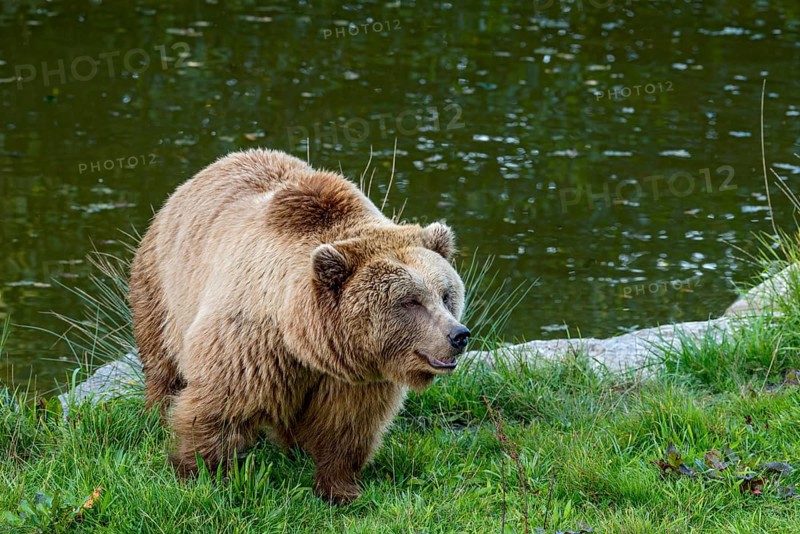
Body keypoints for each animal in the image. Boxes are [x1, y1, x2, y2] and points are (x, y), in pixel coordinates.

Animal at [128, 148, 470, 504]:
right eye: (410, 301)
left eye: (446, 294)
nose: (458, 335)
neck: (304, 340)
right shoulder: (251, 347)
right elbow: (220, 409)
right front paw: (197, 473)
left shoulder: (353, 377)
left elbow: (346, 427)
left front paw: (341, 489)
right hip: (163, 286)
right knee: (163, 364)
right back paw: (155, 413)